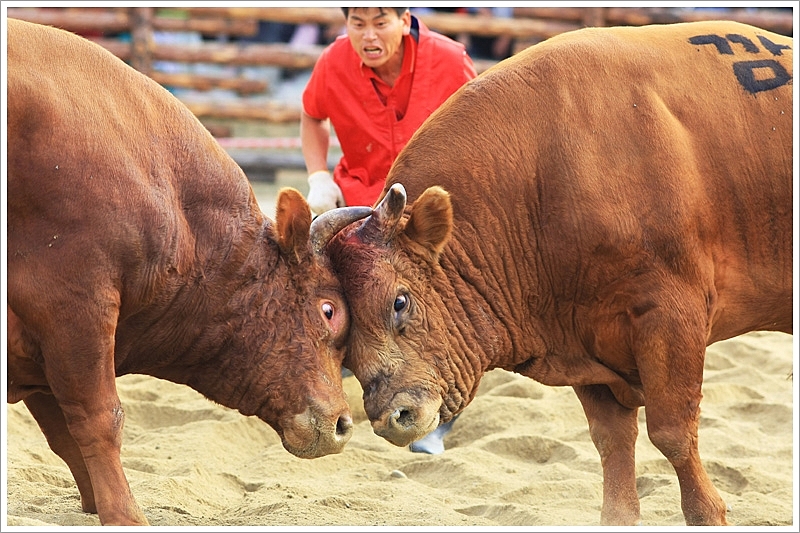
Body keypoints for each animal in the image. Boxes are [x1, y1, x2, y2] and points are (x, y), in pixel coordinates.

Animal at [7, 19, 368, 524]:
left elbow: (62, 432)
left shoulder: (36, 342)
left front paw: (95, 504)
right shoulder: (72, 304)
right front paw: (125, 514)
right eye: (330, 310)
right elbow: (98, 419)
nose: (342, 423)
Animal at [318, 19, 792, 524]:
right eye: (340, 323)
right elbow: (612, 444)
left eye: (400, 301)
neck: (546, 175)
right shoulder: (583, 340)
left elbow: (673, 434)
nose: (392, 416)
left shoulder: (671, 317)